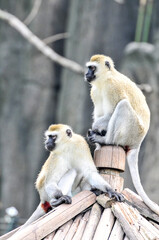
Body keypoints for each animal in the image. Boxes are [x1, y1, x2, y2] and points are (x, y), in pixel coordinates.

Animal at [85, 54, 159, 216]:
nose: (87, 73)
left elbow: (109, 114)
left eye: (92, 68)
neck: (104, 79)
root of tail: (138, 142)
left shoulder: (113, 87)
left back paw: (106, 140)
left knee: (123, 106)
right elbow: (99, 114)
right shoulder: (94, 91)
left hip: (133, 131)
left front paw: (95, 128)